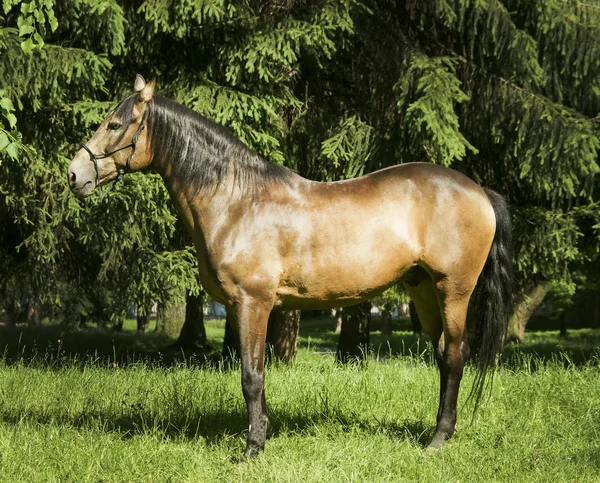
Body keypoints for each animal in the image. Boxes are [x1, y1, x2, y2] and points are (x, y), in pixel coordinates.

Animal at [68, 74, 512, 458]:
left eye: (115, 124)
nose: (74, 175)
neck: (237, 201)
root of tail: (480, 192)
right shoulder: (242, 307)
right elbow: (257, 376)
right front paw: (261, 435)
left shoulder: (254, 302)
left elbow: (251, 377)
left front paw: (251, 450)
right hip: (421, 290)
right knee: (441, 353)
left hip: (453, 290)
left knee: (455, 354)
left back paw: (438, 440)